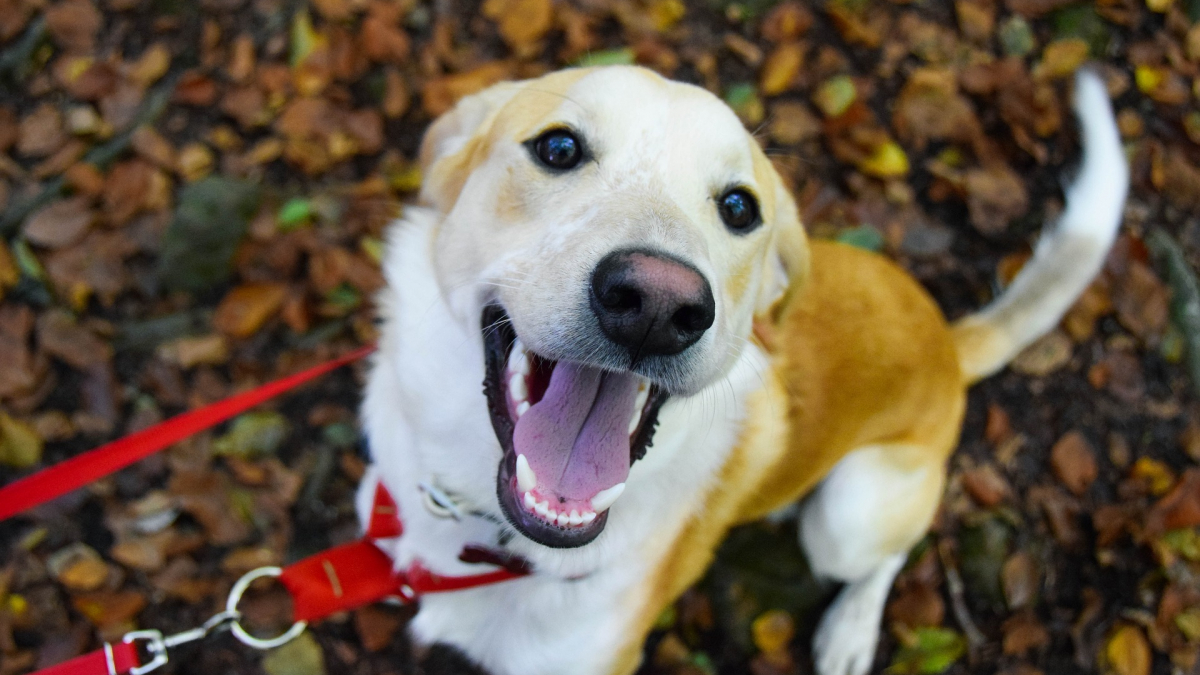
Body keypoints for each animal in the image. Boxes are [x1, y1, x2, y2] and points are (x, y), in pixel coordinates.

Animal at [352, 64, 1123, 672]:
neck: (487, 528)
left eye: (738, 206)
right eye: (559, 147)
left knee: (886, 555)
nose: (659, 303)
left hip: (848, 513)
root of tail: (948, 339)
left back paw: (850, 631)